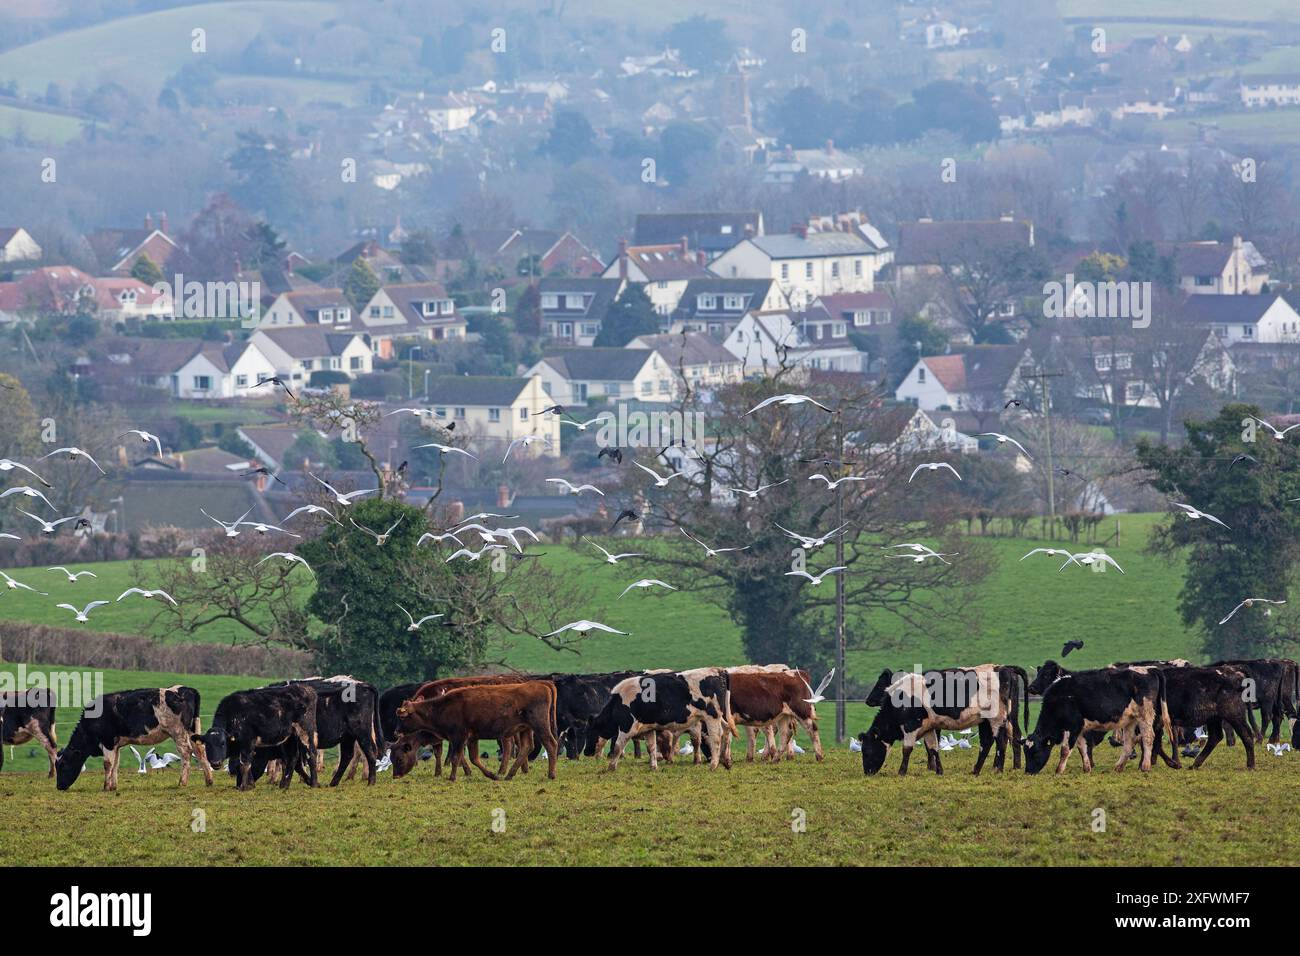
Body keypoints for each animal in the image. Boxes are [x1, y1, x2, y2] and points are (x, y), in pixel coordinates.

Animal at [54, 686, 211, 790]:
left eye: (63, 765)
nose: (59, 786)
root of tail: (186, 689)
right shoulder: (116, 744)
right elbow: (115, 764)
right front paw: (113, 786)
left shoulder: (108, 741)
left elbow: (107, 764)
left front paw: (106, 786)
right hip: (192, 731)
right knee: (200, 751)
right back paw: (209, 781)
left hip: (178, 732)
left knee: (186, 752)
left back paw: (182, 782)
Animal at [392, 681, 561, 780]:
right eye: (392, 758)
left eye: (399, 759)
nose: (395, 776)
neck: (442, 707)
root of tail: (543, 685)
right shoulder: (471, 738)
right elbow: (473, 758)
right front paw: (491, 775)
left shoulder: (458, 737)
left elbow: (456, 757)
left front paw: (452, 777)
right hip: (525, 728)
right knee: (526, 747)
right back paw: (509, 775)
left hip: (540, 726)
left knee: (551, 744)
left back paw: (551, 774)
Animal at [587, 671, 733, 775]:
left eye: (590, 731)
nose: (587, 752)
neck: (618, 703)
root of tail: (718, 671)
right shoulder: (648, 728)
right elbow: (651, 747)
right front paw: (653, 766)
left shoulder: (627, 727)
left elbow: (618, 746)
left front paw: (611, 767)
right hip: (720, 717)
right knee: (726, 730)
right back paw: (726, 761)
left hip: (712, 717)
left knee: (715, 738)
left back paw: (713, 765)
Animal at [857, 665, 1029, 780]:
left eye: (866, 750)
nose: (867, 772)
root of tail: (1002, 668)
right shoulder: (928, 728)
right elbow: (933, 748)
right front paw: (938, 771)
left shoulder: (910, 726)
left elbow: (907, 750)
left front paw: (901, 772)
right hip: (986, 721)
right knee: (987, 743)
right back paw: (976, 770)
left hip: (996, 718)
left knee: (1000, 741)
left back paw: (997, 769)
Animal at [1024, 671, 1170, 775]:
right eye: (1025, 752)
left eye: (1035, 752)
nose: (1028, 772)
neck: (1059, 698)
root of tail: (1150, 670)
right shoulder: (1080, 728)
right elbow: (1082, 748)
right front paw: (1087, 768)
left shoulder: (1073, 727)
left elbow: (1065, 750)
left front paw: (1059, 771)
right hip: (1131, 720)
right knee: (1129, 743)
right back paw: (1118, 767)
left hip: (1145, 715)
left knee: (1148, 737)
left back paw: (1145, 766)